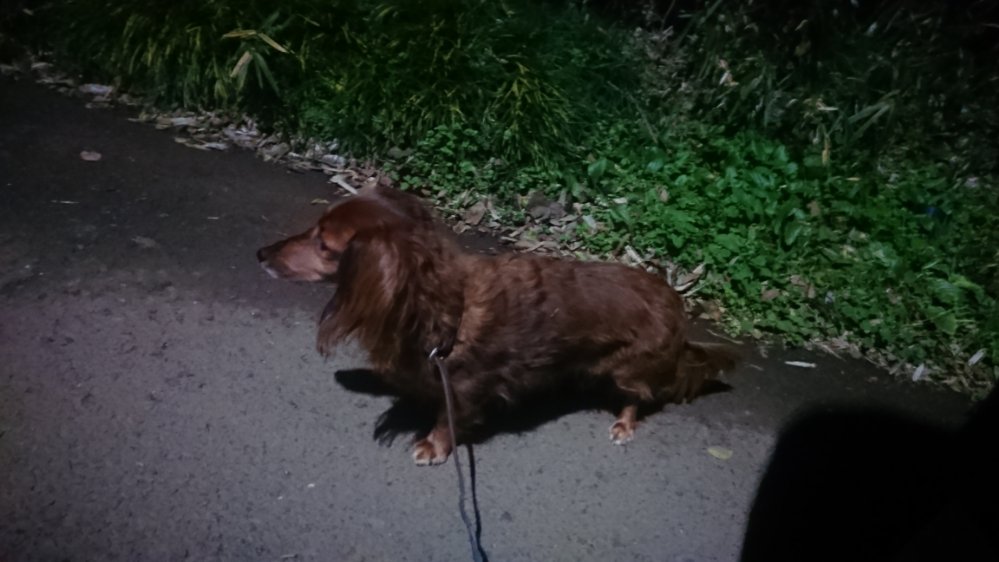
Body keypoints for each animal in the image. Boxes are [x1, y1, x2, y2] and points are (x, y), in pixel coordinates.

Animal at [258, 185, 738, 465]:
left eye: (324, 244)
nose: (261, 254)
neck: (445, 306)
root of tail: (676, 306)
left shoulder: (464, 388)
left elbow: (448, 419)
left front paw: (434, 444)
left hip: (628, 368)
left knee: (639, 395)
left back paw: (624, 422)